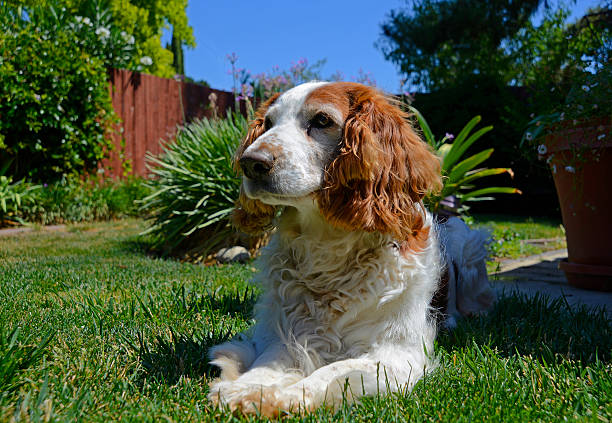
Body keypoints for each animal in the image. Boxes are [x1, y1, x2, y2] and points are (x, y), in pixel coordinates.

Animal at [208, 81, 494, 416]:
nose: (251, 162)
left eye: (321, 120)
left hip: (468, 242)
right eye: (267, 123)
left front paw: (288, 395)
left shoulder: (397, 355)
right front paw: (246, 388)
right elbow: (270, 362)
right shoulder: (288, 332)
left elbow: (330, 370)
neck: (327, 246)